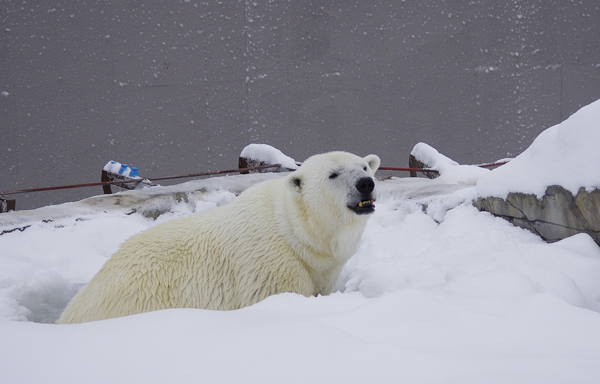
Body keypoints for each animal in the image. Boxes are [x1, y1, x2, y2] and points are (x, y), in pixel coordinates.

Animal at [58, 152, 382, 322]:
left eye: (365, 166)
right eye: (333, 174)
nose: (366, 183)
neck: (295, 232)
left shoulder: (322, 270)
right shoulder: (270, 268)